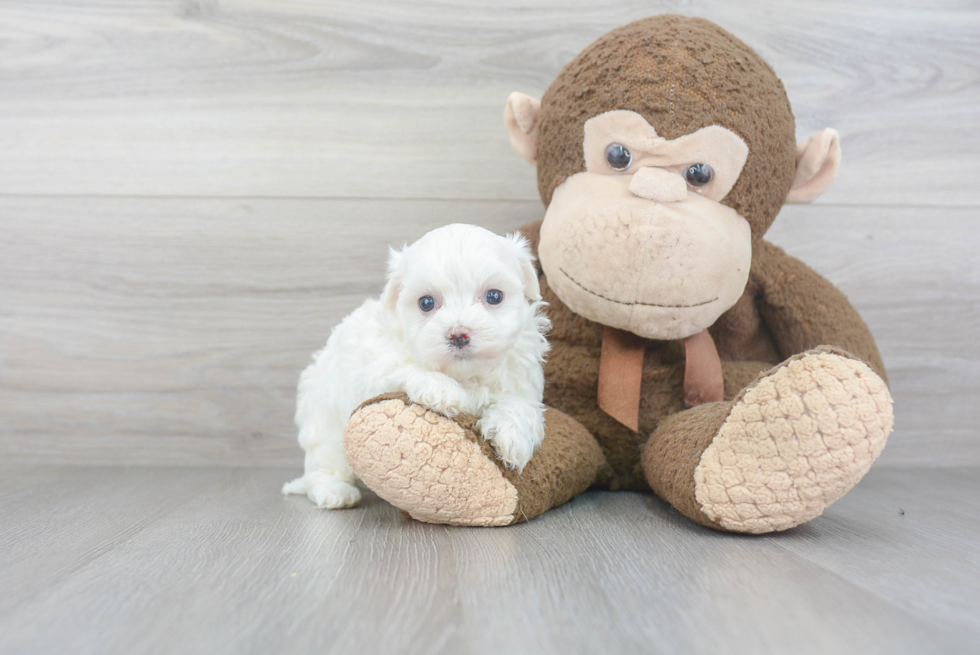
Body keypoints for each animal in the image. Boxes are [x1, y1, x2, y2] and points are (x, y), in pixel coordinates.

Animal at [282, 223, 552, 510]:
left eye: (493, 296)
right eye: (426, 303)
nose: (459, 334)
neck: (465, 375)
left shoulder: (521, 377)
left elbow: (519, 404)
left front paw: (511, 436)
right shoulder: (377, 365)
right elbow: (406, 367)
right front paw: (443, 389)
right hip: (325, 424)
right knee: (323, 465)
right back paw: (334, 491)